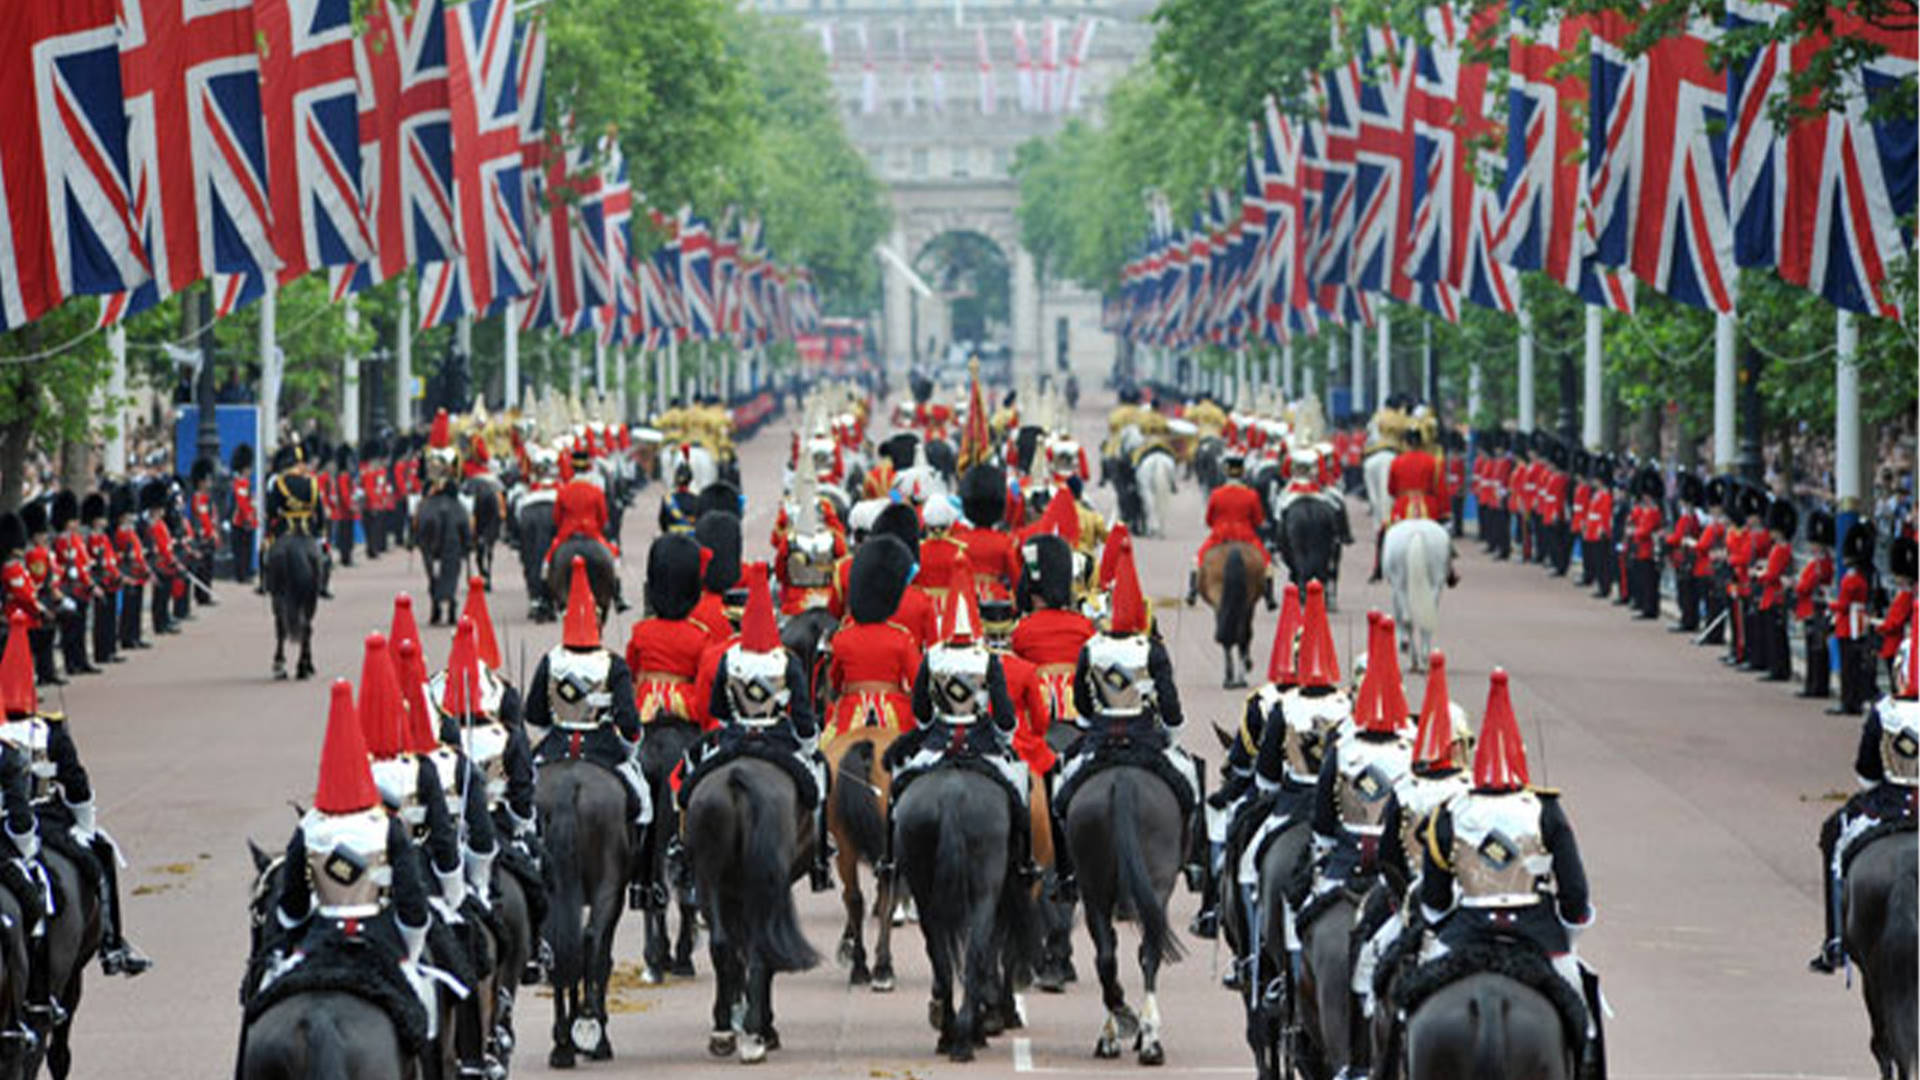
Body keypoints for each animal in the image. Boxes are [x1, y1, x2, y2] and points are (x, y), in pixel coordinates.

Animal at [264, 530, 320, 676]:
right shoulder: (310, 602)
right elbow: (309, 629)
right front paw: (309, 665)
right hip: (309, 600)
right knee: (305, 628)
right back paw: (302, 667)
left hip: (278, 598)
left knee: (281, 627)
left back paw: (280, 666)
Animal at [1190, 541, 1267, 684]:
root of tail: (1233, 549)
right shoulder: (1248, 605)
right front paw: (1247, 664)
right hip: (1243, 603)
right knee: (1241, 634)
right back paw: (1238, 676)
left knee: (1234, 635)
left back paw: (1232, 676)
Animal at [1390, 518, 1443, 668]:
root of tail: (1417, 532)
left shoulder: (1395, 588)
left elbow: (1399, 615)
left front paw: (1402, 643)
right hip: (1435, 585)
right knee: (1427, 619)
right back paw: (1424, 658)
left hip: (1401, 585)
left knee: (1408, 619)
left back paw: (1415, 660)